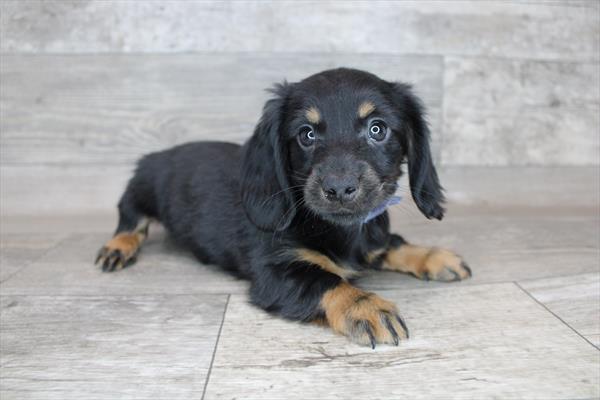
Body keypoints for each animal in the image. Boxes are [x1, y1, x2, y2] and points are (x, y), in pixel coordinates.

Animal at [96, 68, 472, 346]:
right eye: (306, 134)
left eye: (377, 129)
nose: (338, 188)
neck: (339, 229)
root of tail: (159, 154)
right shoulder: (275, 271)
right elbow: (325, 280)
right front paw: (364, 305)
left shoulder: (372, 240)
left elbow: (393, 244)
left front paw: (433, 256)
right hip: (142, 185)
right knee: (130, 216)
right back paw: (118, 246)